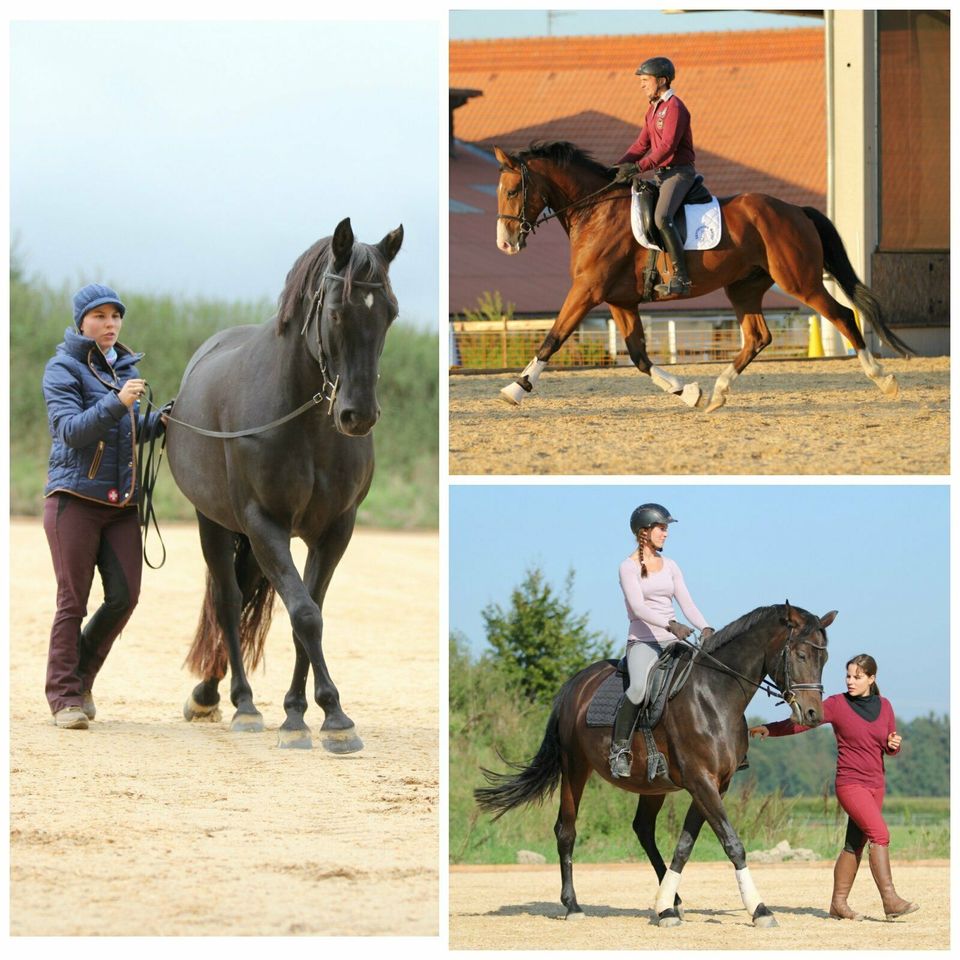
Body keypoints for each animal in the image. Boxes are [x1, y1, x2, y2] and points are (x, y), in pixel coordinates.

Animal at [165, 218, 402, 752]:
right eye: (335, 311)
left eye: (391, 314)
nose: (358, 415)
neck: (306, 422)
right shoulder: (264, 523)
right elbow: (305, 614)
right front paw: (335, 717)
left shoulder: (334, 531)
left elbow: (308, 613)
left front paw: (300, 714)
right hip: (214, 522)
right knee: (227, 601)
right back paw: (239, 703)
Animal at [476, 604, 836, 928]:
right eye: (801, 655)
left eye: (825, 659)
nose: (812, 714)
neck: (715, 694)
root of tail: (574, 685)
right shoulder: (701, 781)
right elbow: (732, 843)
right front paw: (760, 909)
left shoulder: (714, 785)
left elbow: (685, 846)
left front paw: (665, 905)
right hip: (575, 767)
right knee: (566, 830)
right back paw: (574, 906)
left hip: (652, 784)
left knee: (643, 830)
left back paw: (671, 903)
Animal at [492, 141, 912, 410]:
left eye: (512, 191)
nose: (505, 244)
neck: (596, 210)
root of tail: (795, 209)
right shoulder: (620, 301)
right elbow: (639, 356)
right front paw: (688, 392)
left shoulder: (587, 291)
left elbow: (553, 338)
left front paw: (516, 388)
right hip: (743, 288)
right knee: (758, 337)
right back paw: (717, 393)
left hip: (799, 281)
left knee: (842, 316)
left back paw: (883, 378)